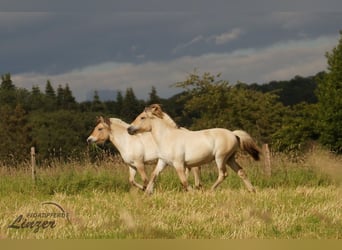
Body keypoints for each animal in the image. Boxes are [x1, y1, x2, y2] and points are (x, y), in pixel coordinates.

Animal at [128, 104, 262, 192]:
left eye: (142, 117)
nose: (129, 129)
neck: (167, 137)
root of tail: (233, 134)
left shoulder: (178, 164)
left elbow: (184, 181)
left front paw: (193, 192)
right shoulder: (163, 162)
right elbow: (153, 175)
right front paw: (147, 193)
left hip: (221, 158)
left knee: (223, 174)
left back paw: (210, 191)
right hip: (230, 158)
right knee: (241, 172)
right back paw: (252, 190)